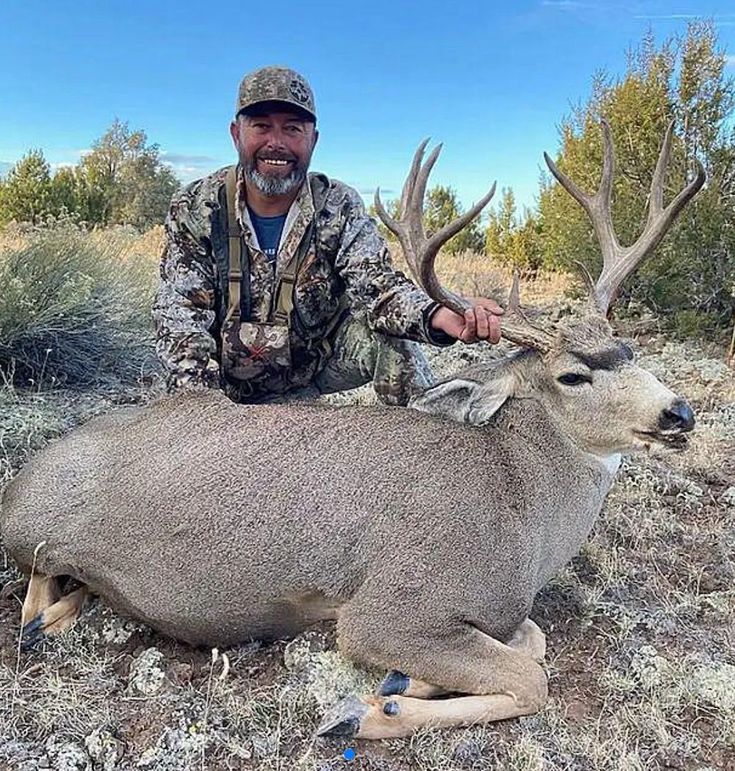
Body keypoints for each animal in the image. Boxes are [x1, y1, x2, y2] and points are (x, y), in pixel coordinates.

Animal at [0, 121, 704, 739]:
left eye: (630, 348)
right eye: (571, 375)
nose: (680, 414)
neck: (522, 512)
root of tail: (20, 481)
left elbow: (529, 640)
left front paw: (398, 685)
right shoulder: (390, 607)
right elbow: (533, 676)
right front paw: (366, 710)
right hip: (36, 537)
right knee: (35, 591)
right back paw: (50, 619)